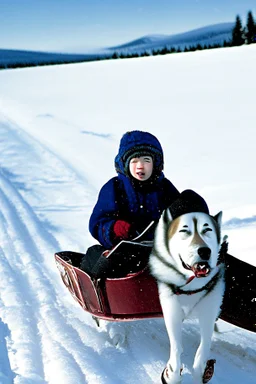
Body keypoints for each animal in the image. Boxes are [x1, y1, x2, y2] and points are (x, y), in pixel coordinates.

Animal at [149, 190, 225, 382]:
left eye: (207, 230)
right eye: (185, 231)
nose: (204, 251)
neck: (192, 286)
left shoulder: (209, 311)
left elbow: (201, 354)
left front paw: (201, 372)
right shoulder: (172, 310)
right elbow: (176, 350)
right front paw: (171, 374)